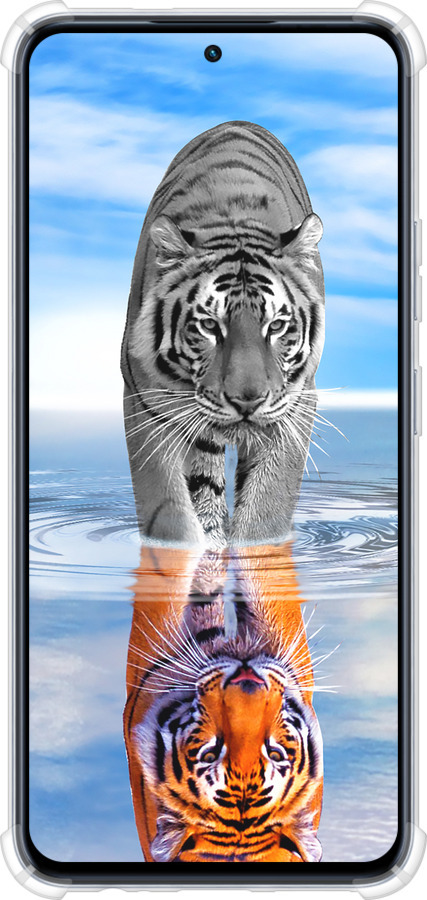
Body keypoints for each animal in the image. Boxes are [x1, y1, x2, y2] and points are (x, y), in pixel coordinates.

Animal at [121, 121, 325, 549]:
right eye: (210, 326)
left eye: (276, 326)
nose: (247, 401)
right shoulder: (145, 401)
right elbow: (169, 513)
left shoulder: (296, 404)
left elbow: (266, 510)